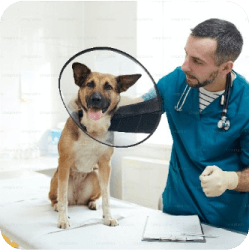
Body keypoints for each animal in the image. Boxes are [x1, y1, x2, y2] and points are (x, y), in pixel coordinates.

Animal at [48, 62, 141, 229]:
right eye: (90, 84)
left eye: (108, 87)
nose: (95, 99)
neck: (93, 128)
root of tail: (77, 200)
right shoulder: (64, 161)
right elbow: (63, 196)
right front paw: (63, 219)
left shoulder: (105, 164)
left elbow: (107, 197)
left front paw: (108, 217)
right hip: (58, 177)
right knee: (56, 198)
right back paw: (57, 205)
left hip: (96, 174)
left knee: (94, 197)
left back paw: (93, 203)